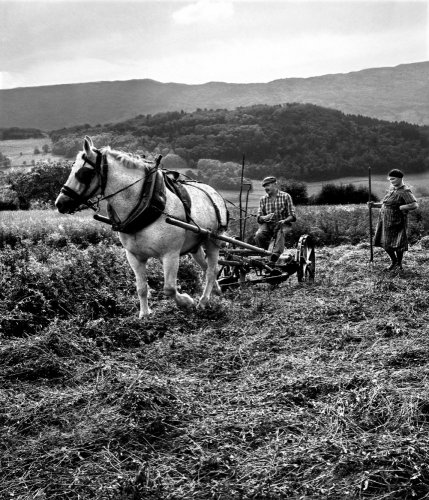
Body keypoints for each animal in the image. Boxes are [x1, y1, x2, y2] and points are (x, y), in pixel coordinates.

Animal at [55, 137, 229, 316]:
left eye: (84, 173)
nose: (60, 203)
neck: (146, 202)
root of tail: (213, 192)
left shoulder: (171, 254)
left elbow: (169, 288)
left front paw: (186, 301)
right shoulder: (134, 256)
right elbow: (141, 287)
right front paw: (144, 314)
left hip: (213, 240)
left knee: (211, 270)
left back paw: (204, 301)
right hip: (196, 244)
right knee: (207, 268)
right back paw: (216, 290)